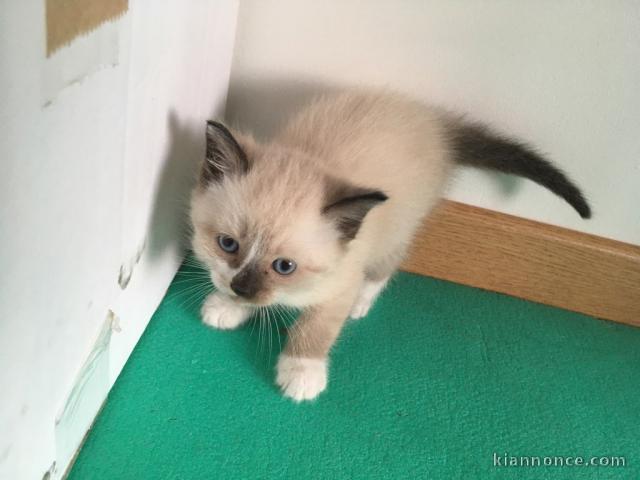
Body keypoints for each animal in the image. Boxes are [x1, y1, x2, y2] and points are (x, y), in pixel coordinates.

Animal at [190, 89, 592, 402]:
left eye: (284, 266)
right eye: (228, 244)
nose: (241, 288)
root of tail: (438, 125)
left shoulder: (342, 281)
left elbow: (315, 327)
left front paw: (302, 372)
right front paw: (228, 306)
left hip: (399, 226)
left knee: (388, 264)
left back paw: (362, 304)